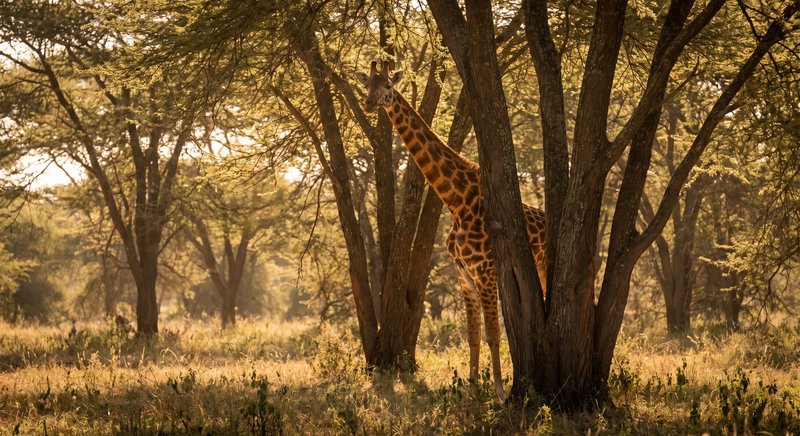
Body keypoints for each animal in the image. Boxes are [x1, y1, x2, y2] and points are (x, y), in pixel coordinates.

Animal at [356, 61, 546, 400]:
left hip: (547, 266)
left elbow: (493, 335)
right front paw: (471, 388)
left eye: (388, 86)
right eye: (367, 86)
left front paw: (498, 391)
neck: (456, 201)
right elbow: (473, 336)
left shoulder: (485, 273)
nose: (368, 104)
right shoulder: (464, 276)